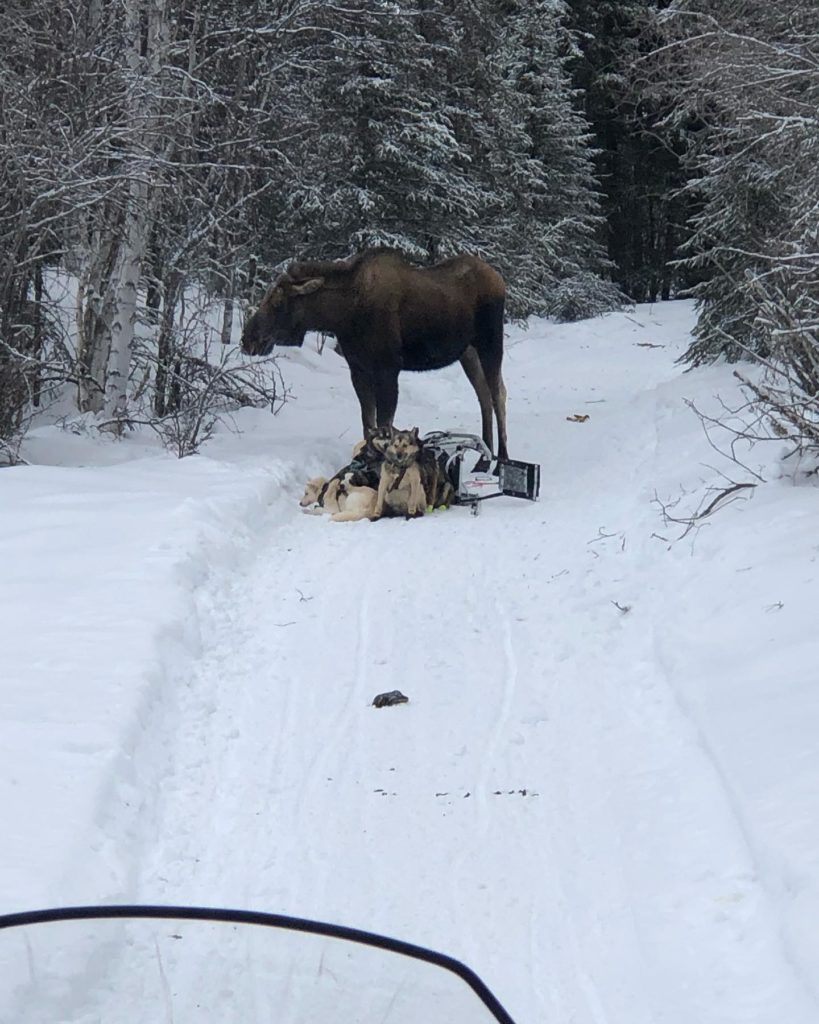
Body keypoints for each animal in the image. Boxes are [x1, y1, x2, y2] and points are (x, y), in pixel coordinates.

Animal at [239, 247, 507, 460]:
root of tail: (499, 279)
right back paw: (485, 456)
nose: (247, 339)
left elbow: (383, 425)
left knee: (498, 395)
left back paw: (500, 460)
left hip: (491, 343)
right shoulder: (358, 369)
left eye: (277, 302)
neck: (343, 315)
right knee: (483, 395)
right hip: (468, 352)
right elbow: (368, 424)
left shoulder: (388, 369)